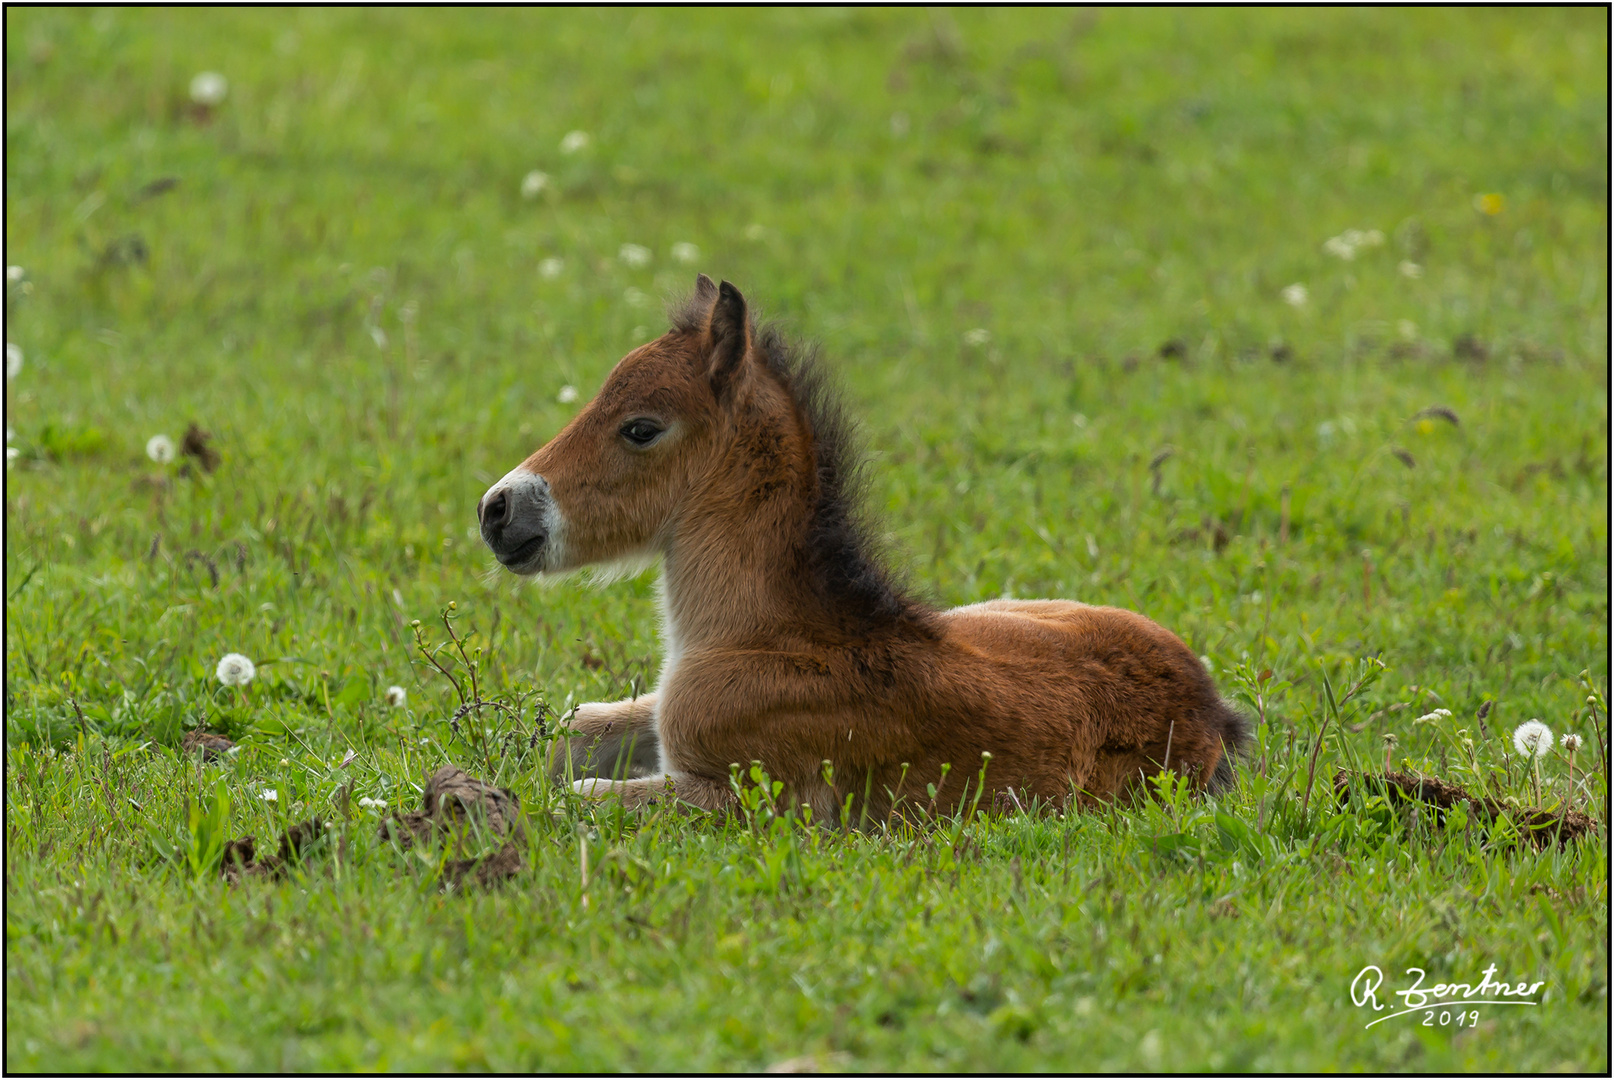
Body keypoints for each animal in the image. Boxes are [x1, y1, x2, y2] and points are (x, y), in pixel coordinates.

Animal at [477, 276, 1246, 816]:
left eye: (641, 427)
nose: (497, 510)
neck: (767, 633)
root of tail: (1216, 712)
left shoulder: (755, 800)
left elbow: (575, 797)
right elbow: (568, 733)